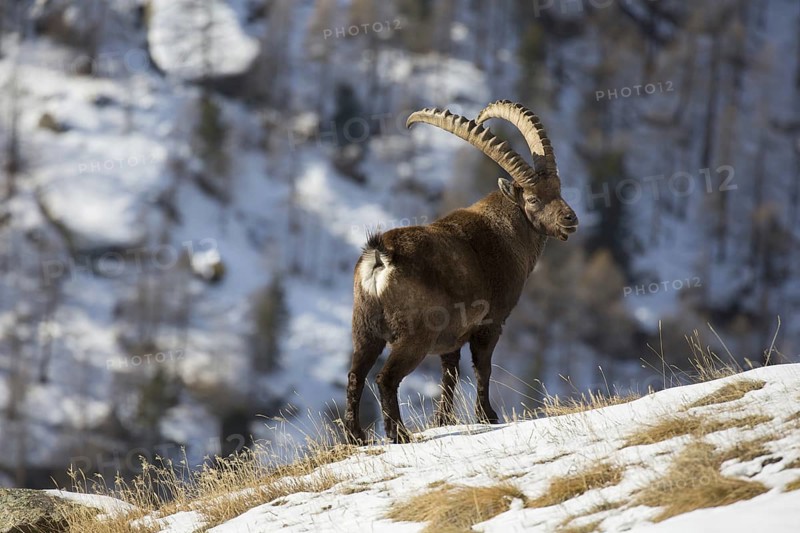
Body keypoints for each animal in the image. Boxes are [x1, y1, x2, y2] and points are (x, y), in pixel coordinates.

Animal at [344, 100, 579, 444]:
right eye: (534, 199)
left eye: (558, 189)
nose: (569, 220)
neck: (505, 231)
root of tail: (381, 255)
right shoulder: (490, 323)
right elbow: (483, 368)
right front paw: (488, 416)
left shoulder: (452, 336)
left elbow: (450, 372)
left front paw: (443, 420)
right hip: (414, 336)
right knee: (385, 378)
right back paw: (399, 434)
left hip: (365, 330)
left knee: (355, 375)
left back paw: (356, 437)